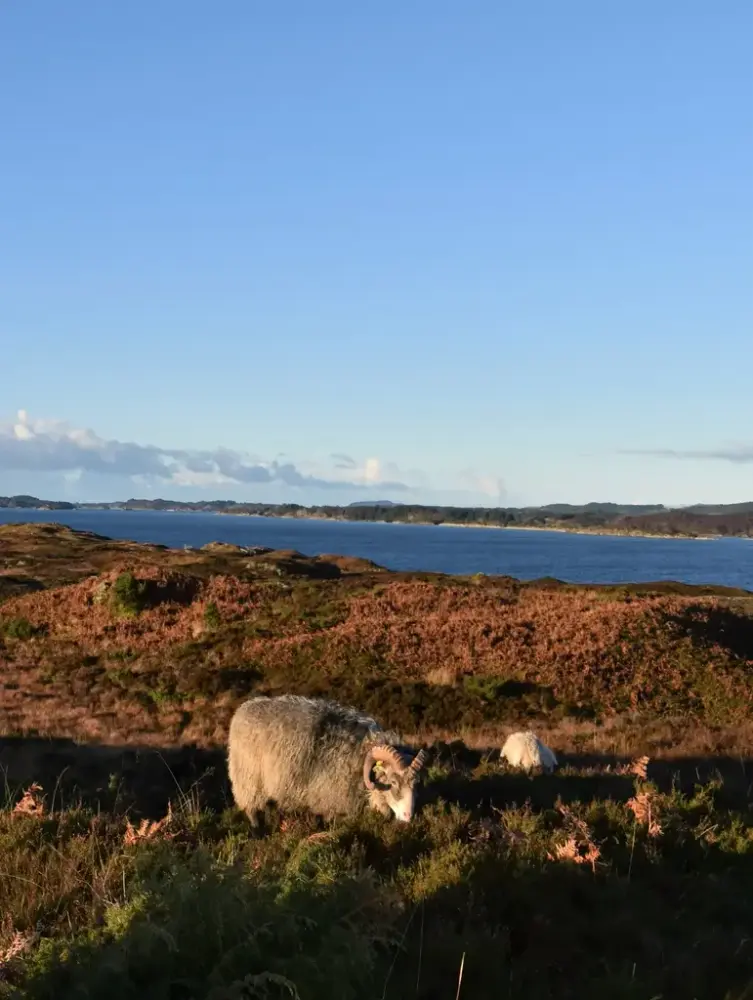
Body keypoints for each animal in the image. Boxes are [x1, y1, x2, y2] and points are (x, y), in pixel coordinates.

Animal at [226, 692, 428, 824]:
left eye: (416, 783)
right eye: (393, 782)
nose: (408, 817)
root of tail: (244, 708)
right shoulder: (331, 804)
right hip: (248, 779)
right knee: (251, 808)